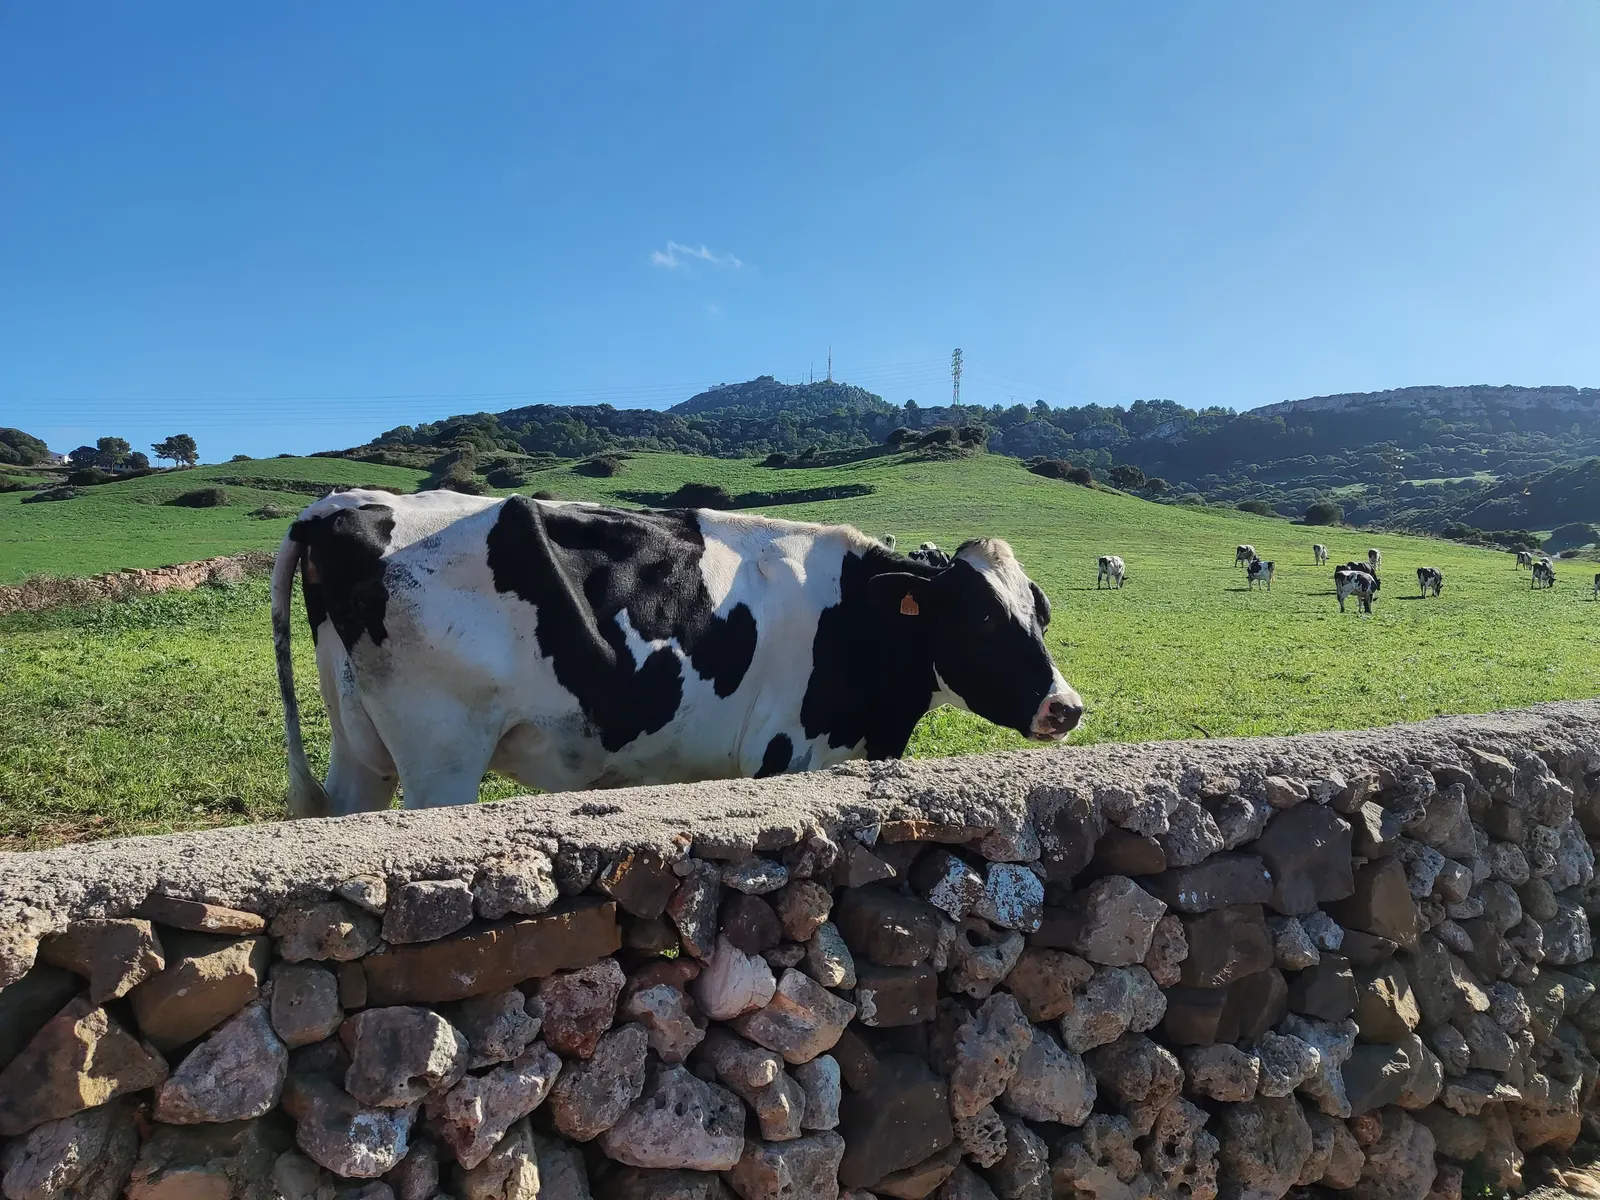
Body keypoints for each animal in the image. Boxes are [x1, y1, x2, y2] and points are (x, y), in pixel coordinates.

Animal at [271, 492, 1084, 816]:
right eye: (983, 620)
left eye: (1036, 613)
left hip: (361, 750)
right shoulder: (784, 755)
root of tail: (340, 504)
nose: (1066, 707)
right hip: (441, 756)